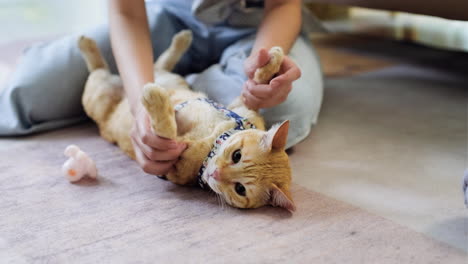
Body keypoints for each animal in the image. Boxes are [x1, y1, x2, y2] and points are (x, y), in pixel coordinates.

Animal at [78, 29, 294, 211]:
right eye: (237, 155)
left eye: (240, 189)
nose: (215, 173)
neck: (211, 143)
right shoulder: (241, 105)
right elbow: (256, 83)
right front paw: (273, 60)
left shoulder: (171, 161)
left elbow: (166, 129)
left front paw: (155, 98)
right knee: (157, 64)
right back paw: (182, 40)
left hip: (97, 93)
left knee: (99, 68)